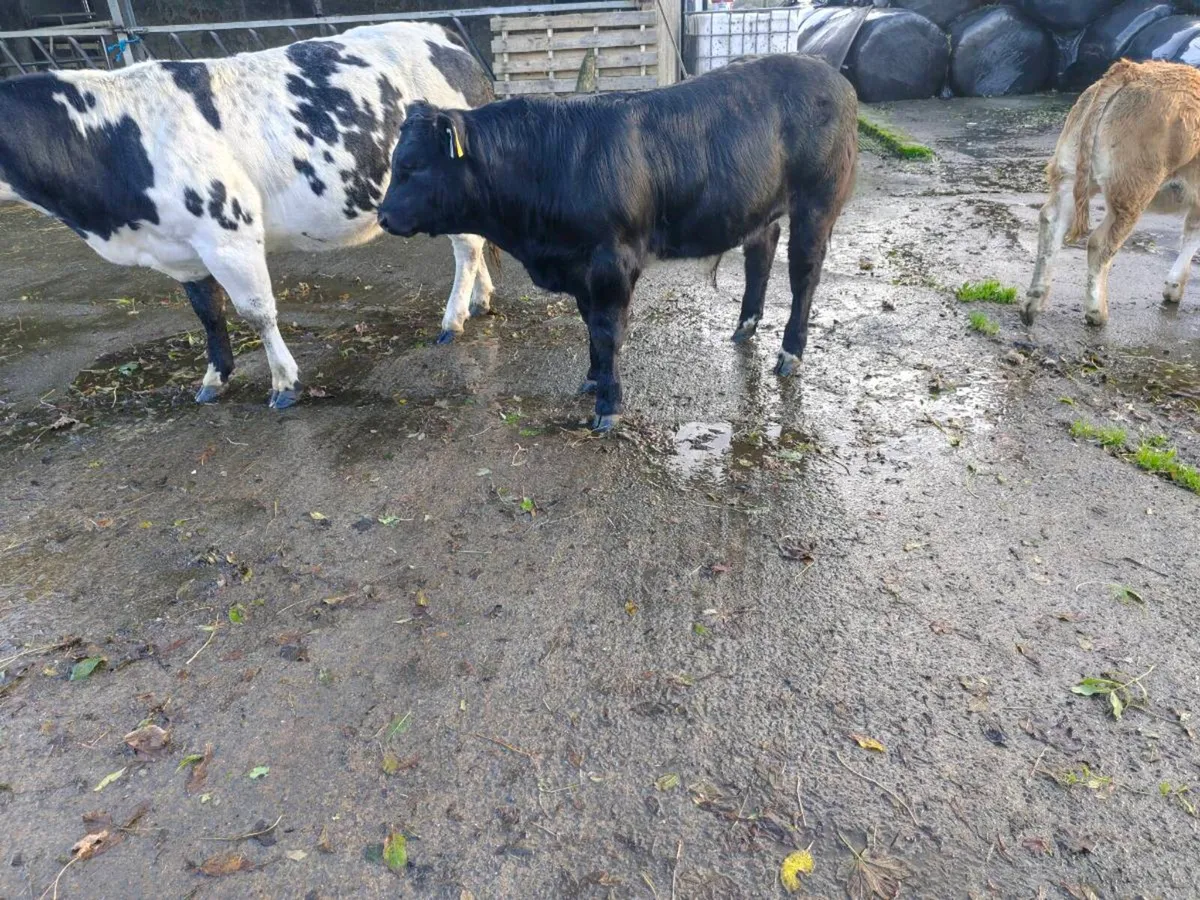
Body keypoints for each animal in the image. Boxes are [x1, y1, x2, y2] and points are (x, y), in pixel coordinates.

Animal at [0, 22, 495, 408]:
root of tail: (440, 34)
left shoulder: (227, 234)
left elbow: (256, 311)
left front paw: (284, 383)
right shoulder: (181, 249)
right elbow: (208, 312)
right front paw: (214, 378)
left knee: (467, 247)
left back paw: (452, 319)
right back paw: (479, 300)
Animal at [375, 54, 858, 431]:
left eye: (413, 166)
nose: (382, 216)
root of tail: (831, 74)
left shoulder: (612, 260)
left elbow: (608, 331)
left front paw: (608, 405)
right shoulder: (579, 267)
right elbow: (590, 324)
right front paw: (593, 378)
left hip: (818, 203)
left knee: (804, 275)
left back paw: (790, 352)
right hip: (758, 206)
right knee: (761, 252)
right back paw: (745, 326)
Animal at [1024, 59, 1200, 327]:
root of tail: (1129, 71)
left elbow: (1191, 235)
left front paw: (1173, 288)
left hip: (1069, 173)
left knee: (1051, 221)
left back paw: (1033, 303)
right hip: (1132, 191)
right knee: (1100, 243)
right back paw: (1097, 313)